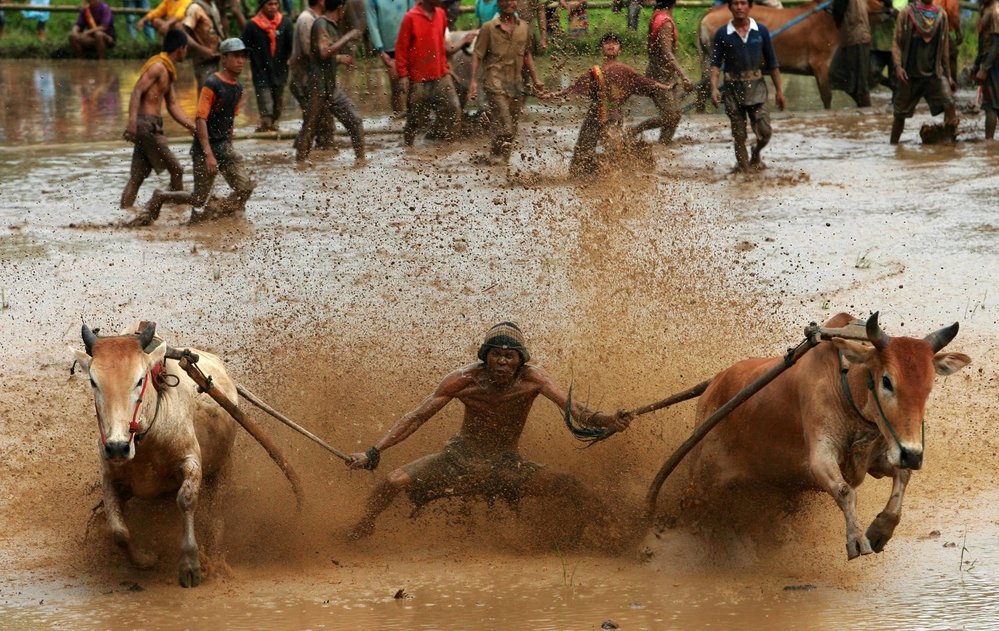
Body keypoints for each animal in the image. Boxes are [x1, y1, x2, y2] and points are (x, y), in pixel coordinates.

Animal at [688, 314, 968, 560]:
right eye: (887, 381)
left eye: (928, 386)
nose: (912, 454)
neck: (847, 385)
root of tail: (713, 386)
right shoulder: (820, 457)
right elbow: (845, 491)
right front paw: (856, 540)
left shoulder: (878, 458)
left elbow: (903, 476)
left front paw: (880, 531)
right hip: (702, 477)